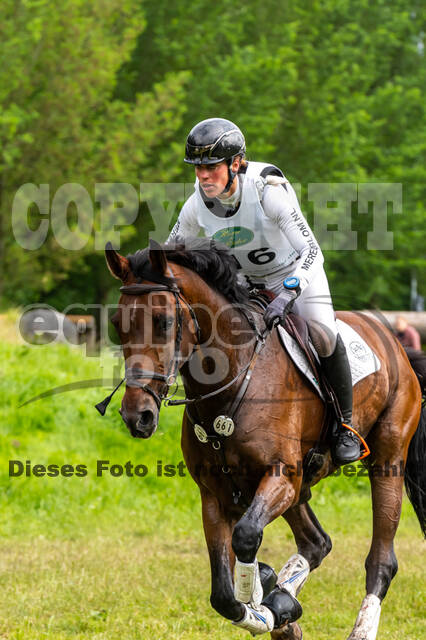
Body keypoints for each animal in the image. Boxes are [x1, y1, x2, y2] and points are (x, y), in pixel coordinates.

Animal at [102, 238, 426, 640]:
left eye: (163, 322)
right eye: (117, 325)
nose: (138, 415)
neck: (233, 382)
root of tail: (396, 344)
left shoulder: (280, 476)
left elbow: (245, 536)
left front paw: (263, 604)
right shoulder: (217, 495)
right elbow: (224, 593)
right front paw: (267, 602)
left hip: (386, 459)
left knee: (381, 559)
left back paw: (357, 628)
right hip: (302, 485)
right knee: (316, 542)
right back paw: (283, 606)